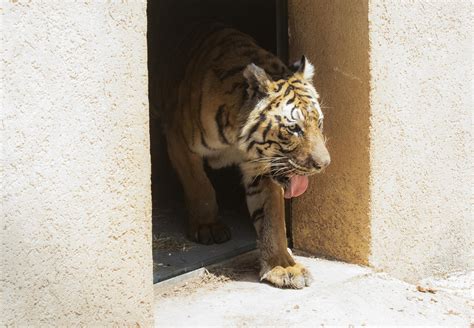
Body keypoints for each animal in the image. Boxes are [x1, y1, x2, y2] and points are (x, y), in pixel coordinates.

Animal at [151, 21, 330, 288]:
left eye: (318, 123)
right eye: (294, 128)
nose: (324, 164)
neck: (237, 140)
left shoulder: (261, 167)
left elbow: (272, 218)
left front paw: (283, 266)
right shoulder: (179, 140)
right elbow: (200, 186)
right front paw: (207, 226)